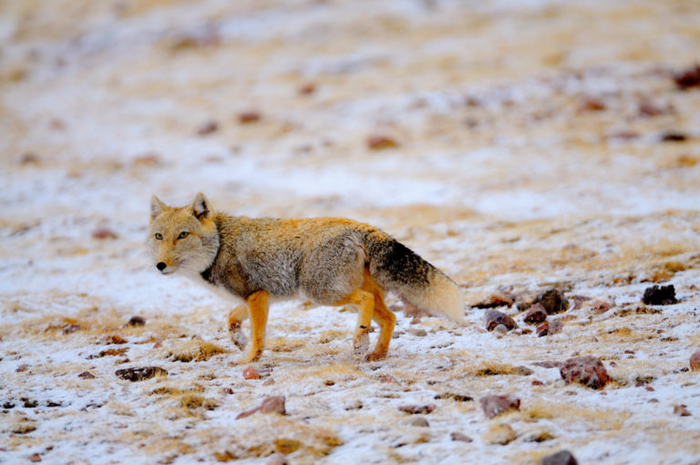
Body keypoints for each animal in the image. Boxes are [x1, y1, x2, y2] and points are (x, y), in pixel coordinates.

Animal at [149, 192, 464, 362]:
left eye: (183, 235)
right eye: (158, 236)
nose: (159, 265)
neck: (219, 245)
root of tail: (361, 225)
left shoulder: (257, 296)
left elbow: (259, 335)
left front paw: (250, 359)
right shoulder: (258, 296)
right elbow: (231, 317)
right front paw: (238, 339)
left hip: (322, 293)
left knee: (366, 302)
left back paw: (360, 340)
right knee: (390, 317)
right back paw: (377, 354)